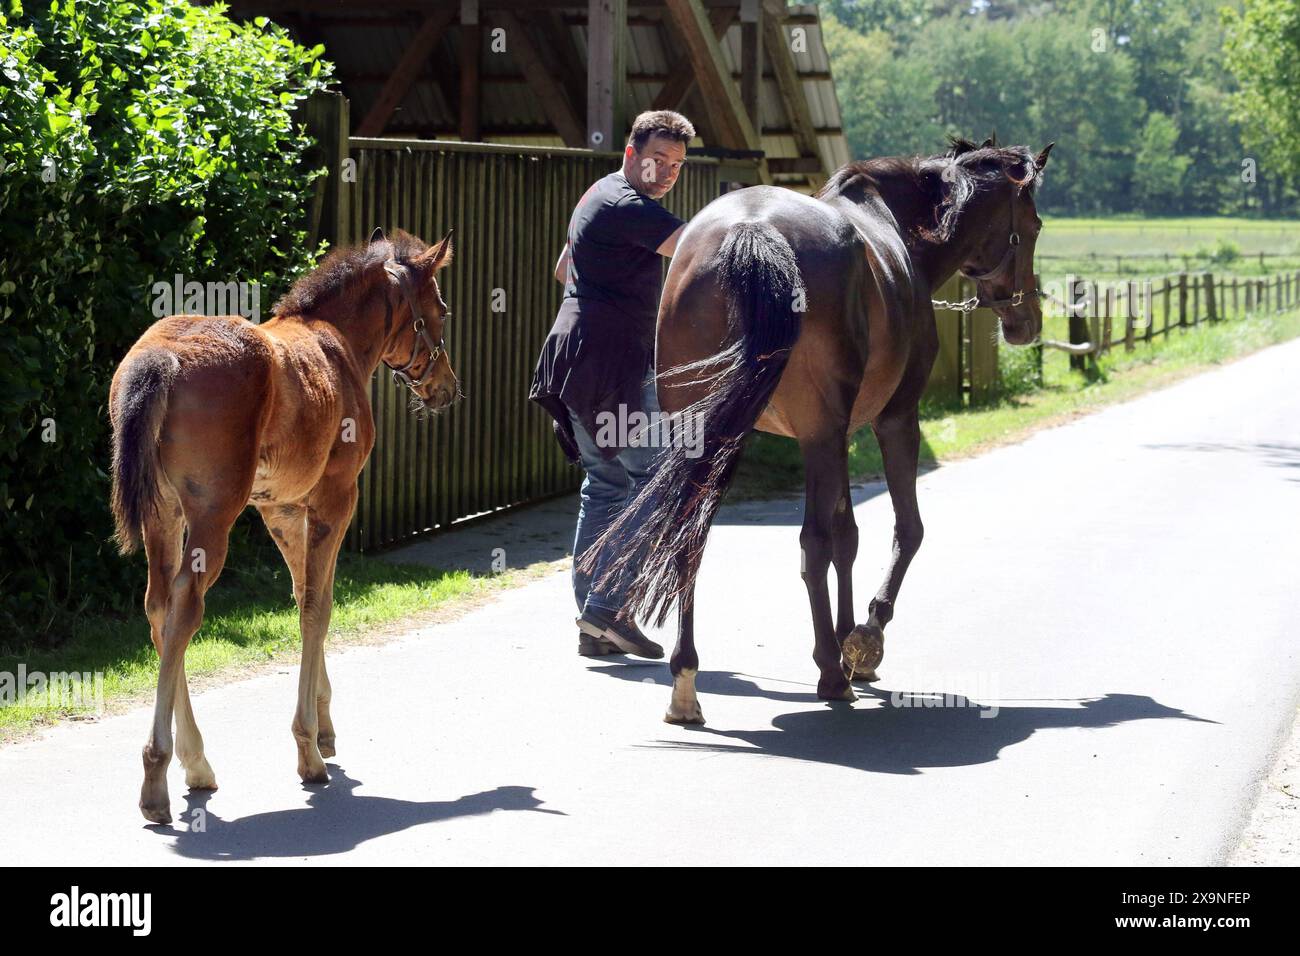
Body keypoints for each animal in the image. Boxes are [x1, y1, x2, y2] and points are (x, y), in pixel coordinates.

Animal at [109, 227, 458, 823]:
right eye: (440, 310)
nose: (447, 387)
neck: (338, 342)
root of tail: (160, 358)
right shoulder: (337, 497)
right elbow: (319, 604)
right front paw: (308, 750)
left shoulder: (282, 509)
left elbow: (303, 595)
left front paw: (326, 727)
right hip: (212, 516)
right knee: (184, 609)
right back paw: (159, 778)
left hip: (164, 514)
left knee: (157, 606)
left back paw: (195, 762)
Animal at [581, 138, 1053, 723]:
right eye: (1033, 224)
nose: (1026, 322)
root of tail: (751, 230)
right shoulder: (890, 421)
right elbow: (901, 529)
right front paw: (865, 640)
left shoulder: (839, 435)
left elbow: (848, 535)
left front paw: (851, 641)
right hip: (812, 436)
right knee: (812, 543)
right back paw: (830, 672)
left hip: (712, 437)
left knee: (692, 540)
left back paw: (686, 681)